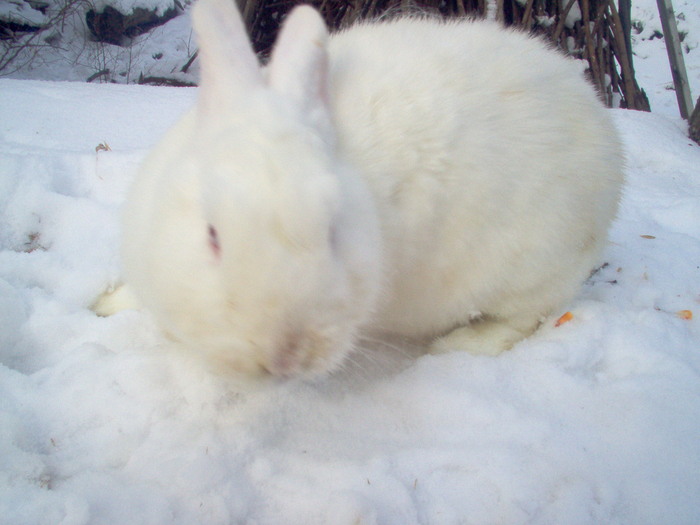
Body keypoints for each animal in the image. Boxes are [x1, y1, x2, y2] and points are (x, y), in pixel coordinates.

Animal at [115, 0, 624, 376]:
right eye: (212, 237)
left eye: (332, 234)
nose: (286, 354)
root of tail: (606, 137)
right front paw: (109, 301)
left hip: (532, 267)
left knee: (525, 316)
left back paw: (459, 345)